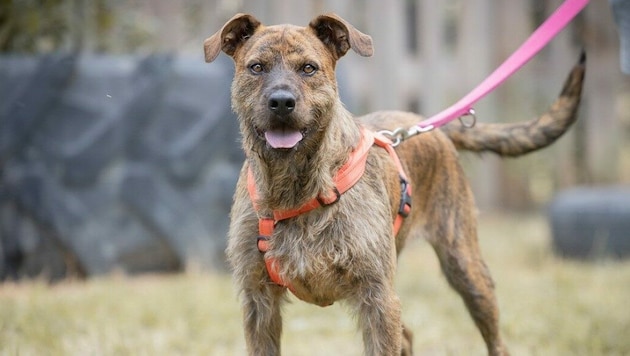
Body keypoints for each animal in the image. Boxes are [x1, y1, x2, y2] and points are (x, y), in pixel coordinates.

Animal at [204, 12, 588, 354]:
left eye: (308, 68)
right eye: (257, 67)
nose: (282, 102)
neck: (297, 187)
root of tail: (425, 123)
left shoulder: (377, 298)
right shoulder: (259, 302)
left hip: (467, 270)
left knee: (495, 341)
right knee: (408, 336)